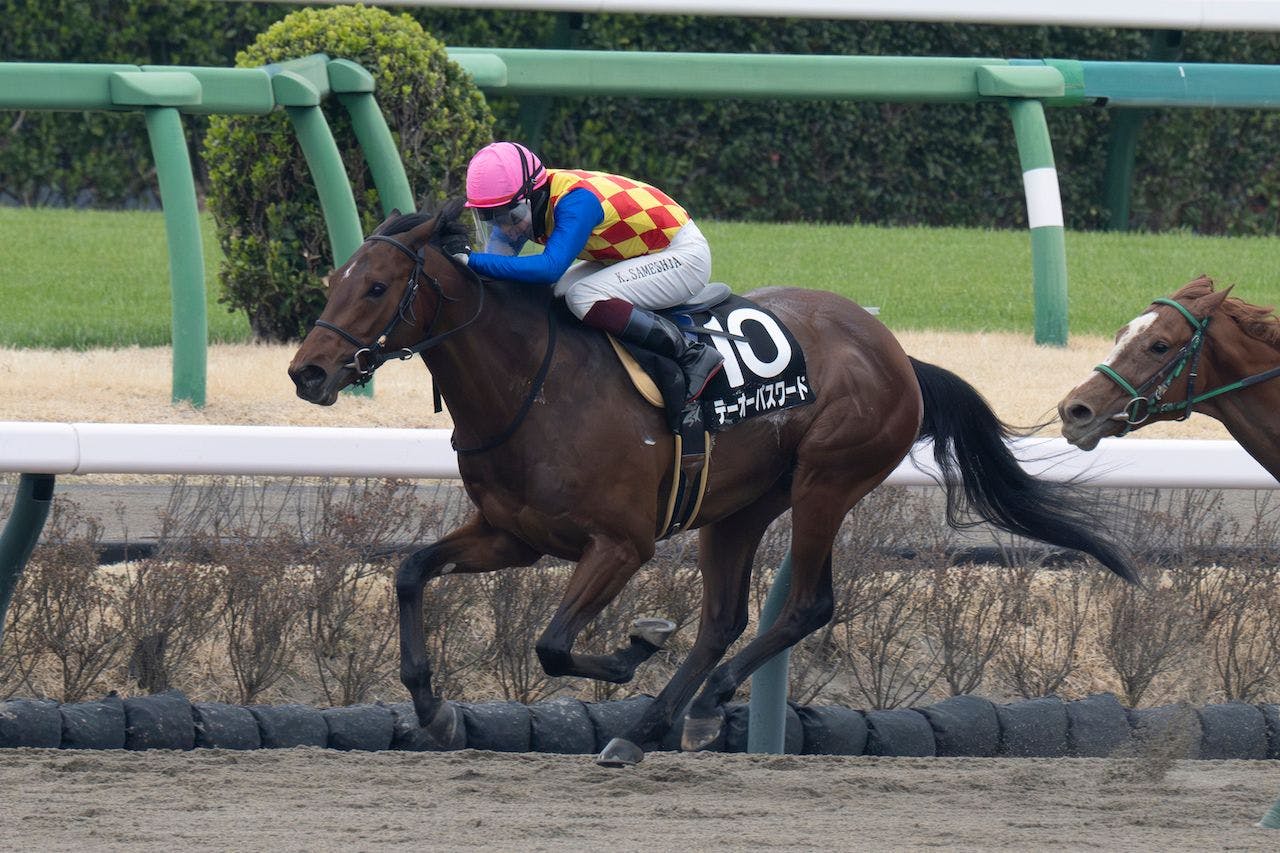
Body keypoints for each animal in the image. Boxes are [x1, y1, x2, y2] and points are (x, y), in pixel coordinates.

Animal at [290, 201, 1141, 763]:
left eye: (375, 288)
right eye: (332, 279)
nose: (308, 372)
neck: (532, 385)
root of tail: (896, 351)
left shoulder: (621, 543)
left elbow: (555, 645)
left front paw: (632, 646)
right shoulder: (513, 535)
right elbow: (410, 571)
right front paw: (434, 712)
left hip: (827, 478)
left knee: (804, 604)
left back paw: (691, 710)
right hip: (737, 507)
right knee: (724, 618)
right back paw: (652, 728)